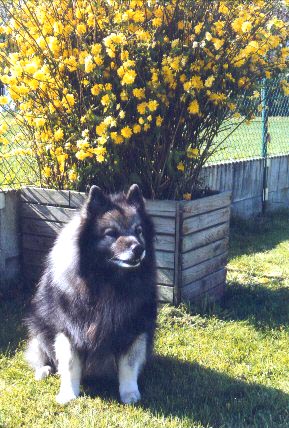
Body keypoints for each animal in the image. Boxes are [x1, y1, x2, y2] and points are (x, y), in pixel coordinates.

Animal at [24, 184, 158, 404]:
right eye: (111, 233)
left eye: (139, 231)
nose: (139, 248)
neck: (107, 282)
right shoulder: (68, 331)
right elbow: (70, 365)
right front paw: (68, 394)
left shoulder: (135, 330)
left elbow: (129, 367)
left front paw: (129, 393)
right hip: (40, 330)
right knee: (41, 354)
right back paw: (43, 370)